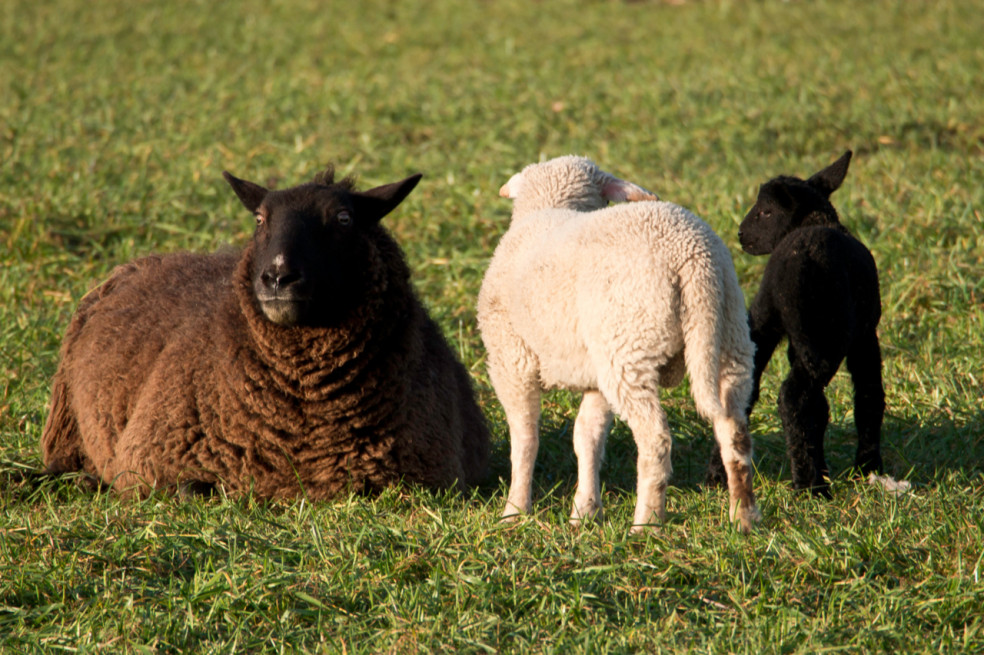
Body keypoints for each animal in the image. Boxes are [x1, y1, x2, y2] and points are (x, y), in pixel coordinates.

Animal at [41, 167, 488, 500]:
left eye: (344, 219)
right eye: (259, 219)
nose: (277, 277)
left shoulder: (423, 478)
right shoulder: (147, 463)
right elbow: (193, 489)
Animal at [480, 156, 764, 536]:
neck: (551, 206)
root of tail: (694, 258)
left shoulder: (512, 359)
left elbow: (525, 439)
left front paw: (514, 511)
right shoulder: (596, 372)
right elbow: (587, 437)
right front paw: (585, 511)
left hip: (631, 346)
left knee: (655, 440)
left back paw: (646, 524)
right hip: (726, 338)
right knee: (735, 432)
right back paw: (743, 517)